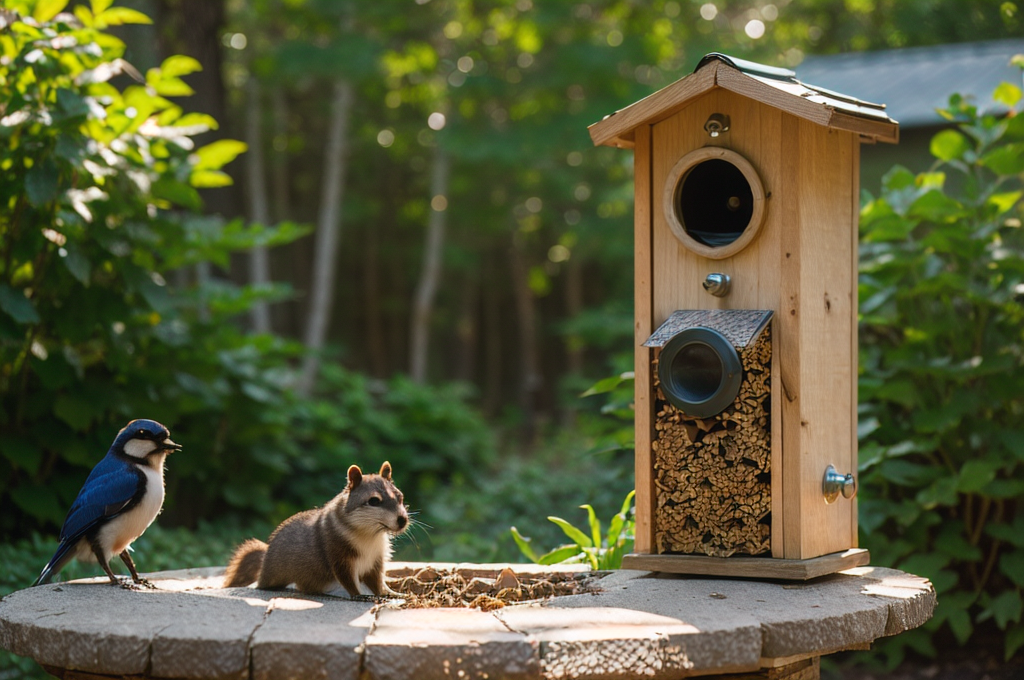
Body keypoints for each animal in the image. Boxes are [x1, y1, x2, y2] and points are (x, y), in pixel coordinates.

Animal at [223, 458, 407, 598]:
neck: (370, 534)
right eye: (373, 501)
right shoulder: (338, 553)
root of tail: (266, 556)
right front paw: (360, 596)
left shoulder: (375, 559)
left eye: (400, 496)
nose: (403, 520)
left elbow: (376, 582)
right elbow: (348, 579)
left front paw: (390, 594)